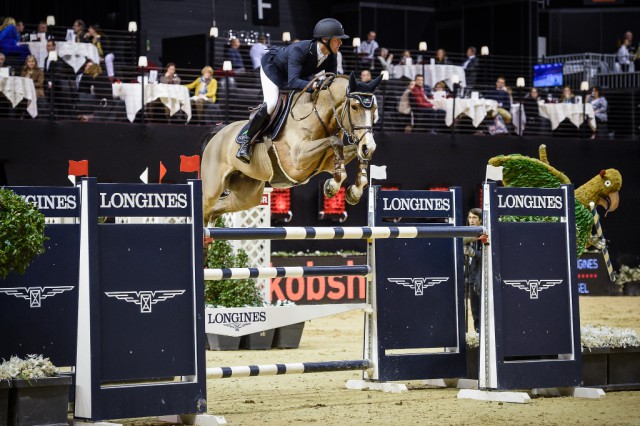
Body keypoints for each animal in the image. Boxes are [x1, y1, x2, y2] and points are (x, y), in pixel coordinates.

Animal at [201, 71, 380, 225]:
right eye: (354, 107)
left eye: (374, 109)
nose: (369, 147)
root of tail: (217, 133)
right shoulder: (297, 159)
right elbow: (336, 141)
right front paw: (332, 186)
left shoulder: (327, 162)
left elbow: (350, 151)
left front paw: (355, 190)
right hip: (213, 188)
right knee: (206, 207)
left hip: (248, 195)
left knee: (215, 211)